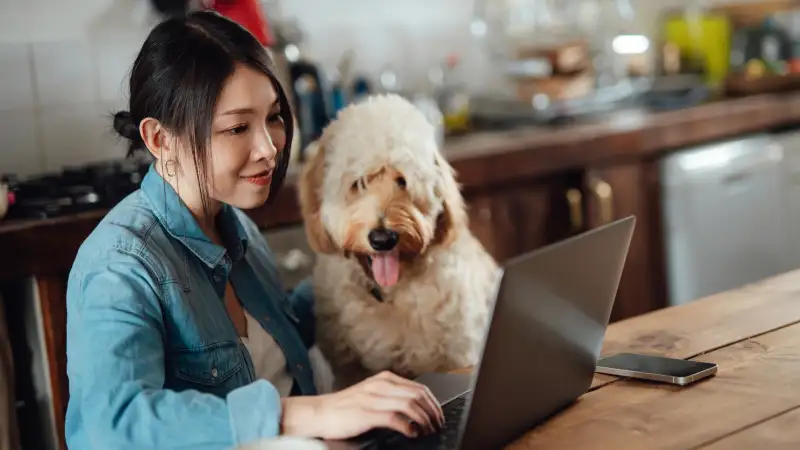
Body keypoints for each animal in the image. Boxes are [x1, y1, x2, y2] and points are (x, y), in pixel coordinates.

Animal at [300, 94, 500, 386]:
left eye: (403, 181)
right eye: (359, 183)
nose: (383, 238)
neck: (389, 294)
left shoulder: (457, 354)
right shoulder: (350, 370)